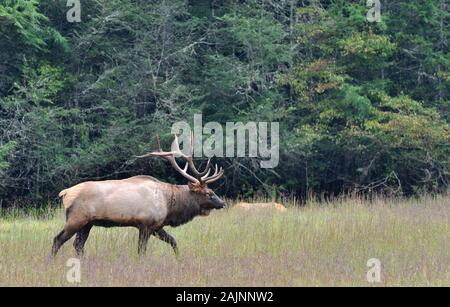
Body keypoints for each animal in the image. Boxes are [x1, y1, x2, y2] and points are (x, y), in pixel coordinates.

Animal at [51, 134, 225, 258]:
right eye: (208, 193)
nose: (222, 203)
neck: (169, 205)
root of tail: (65, 193)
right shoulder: (146, 224)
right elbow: (141, 251)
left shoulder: (157, 226)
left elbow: (174, 242)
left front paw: (179, 259)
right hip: (77, 218)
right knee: (58, 239)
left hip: (88, 223)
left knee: (78, 245)